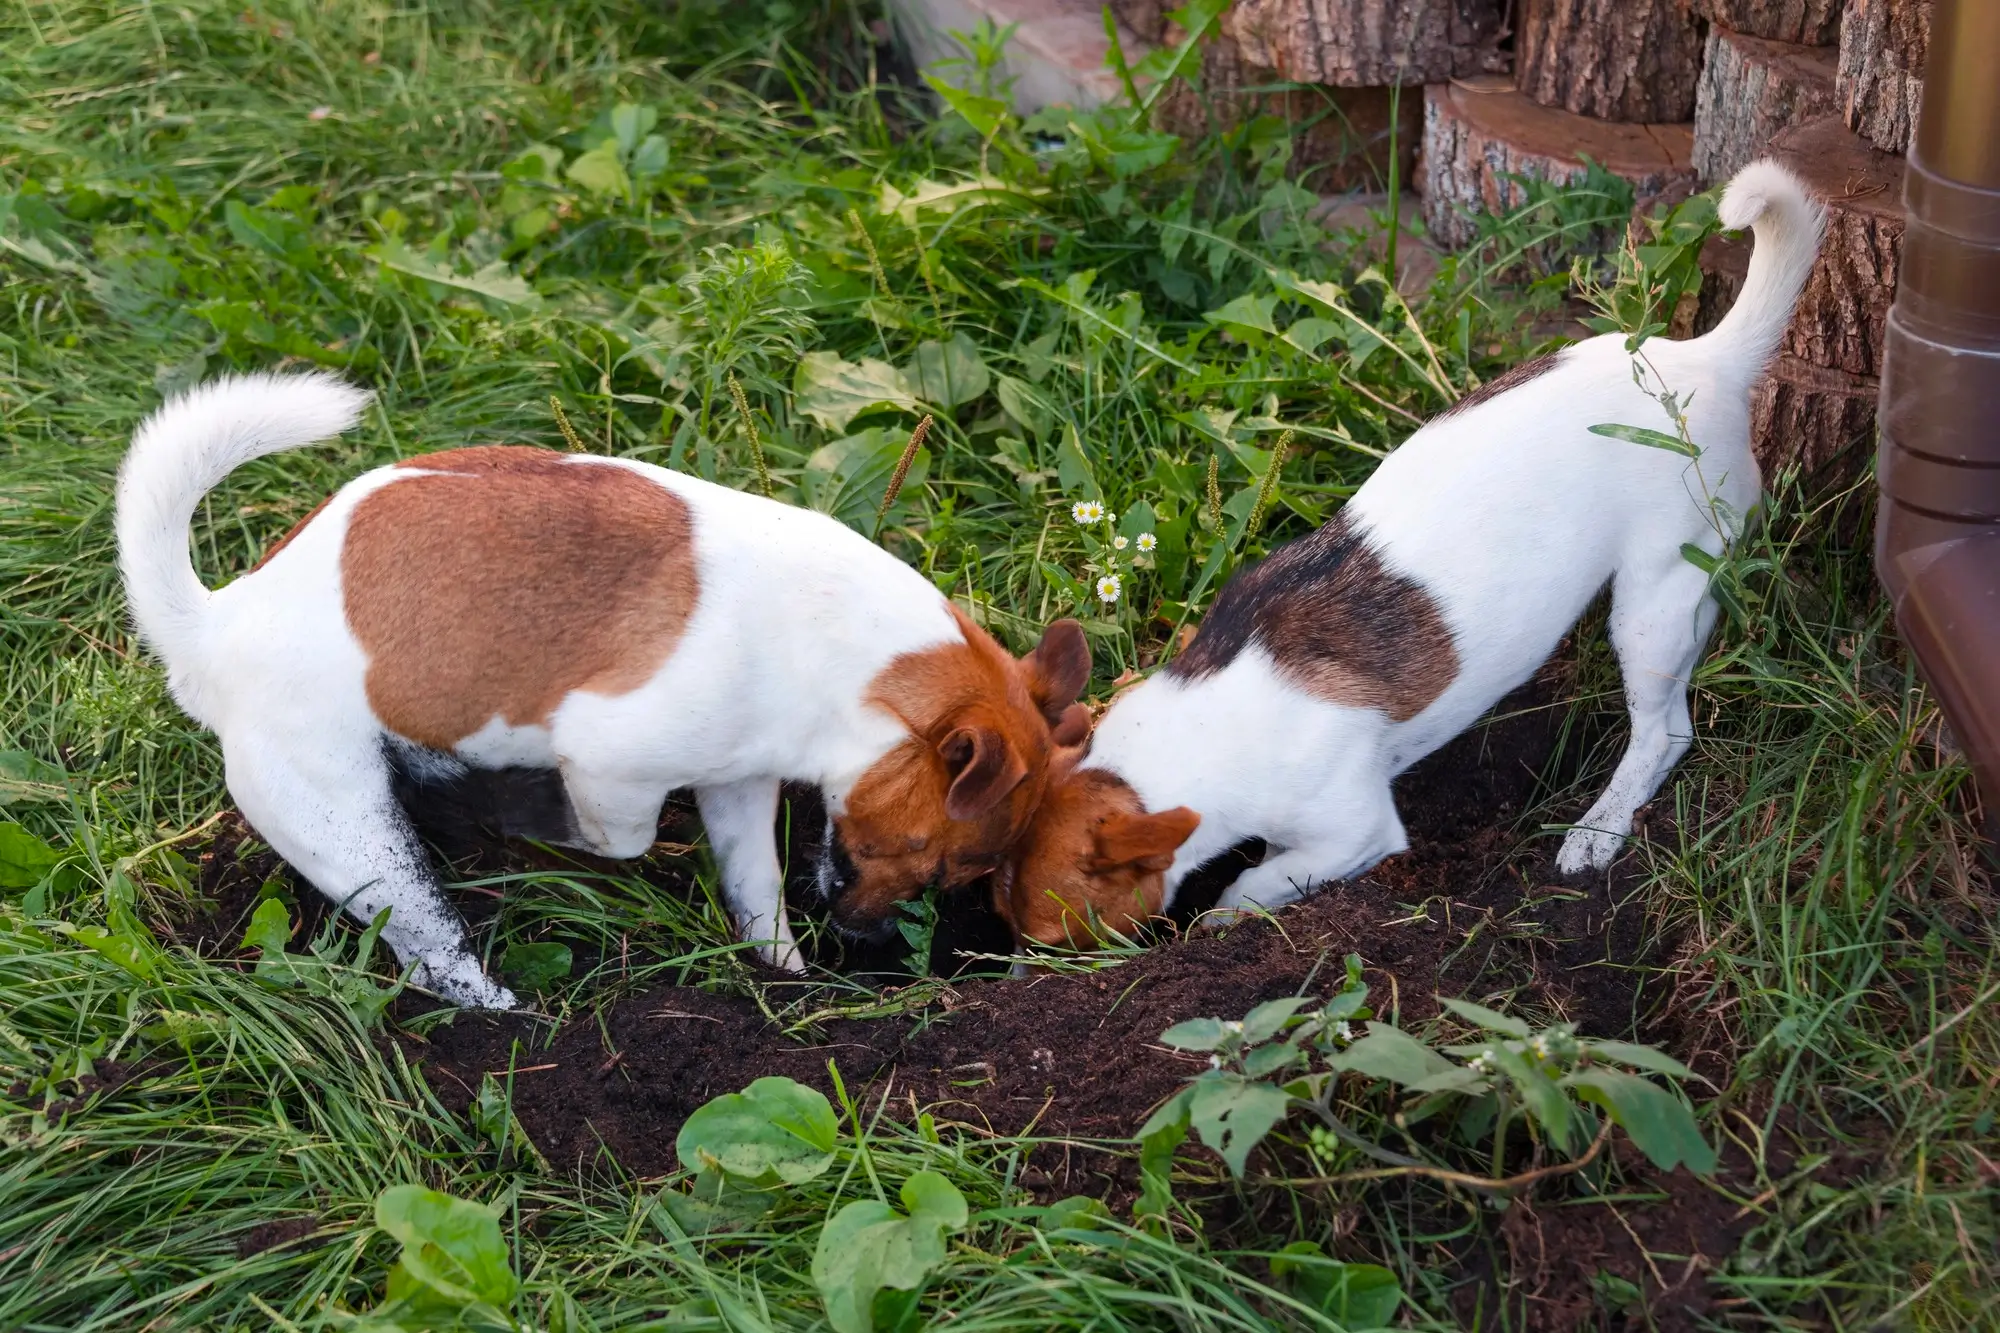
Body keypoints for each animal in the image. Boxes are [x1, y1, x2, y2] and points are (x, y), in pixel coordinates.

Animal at [117, 386, 1088, 1008]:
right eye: (935, 858)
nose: (865, 940)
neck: (845, 653)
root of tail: (216, 625)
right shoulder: (611, 762)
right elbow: (622, 837)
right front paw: (557, 832)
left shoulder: (739, 785)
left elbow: (756, 889)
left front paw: (783, 975)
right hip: (355, 840)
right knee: (436, 953)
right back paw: (503, 1006)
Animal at [972, 161, 1832, 944]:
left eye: (1054, 937)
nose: (1010, 970)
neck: (1201, 722)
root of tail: (1705, 362)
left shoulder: (1354, 828)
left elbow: (1257, 879)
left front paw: (1224, 917)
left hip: (1657, 603)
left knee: (1665, 732)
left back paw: (1599, 827)